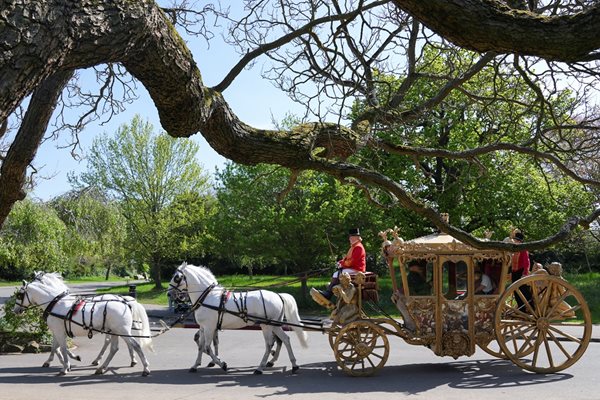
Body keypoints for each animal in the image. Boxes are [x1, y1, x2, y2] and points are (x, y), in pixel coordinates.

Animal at [14, 272, 152, 376]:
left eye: (19, 295)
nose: (15, 310)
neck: (55, 302)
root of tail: (125, 303)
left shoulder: (58, 331)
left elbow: (61, 348)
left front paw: (65, 367)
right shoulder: (58, 331)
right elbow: (56, 348)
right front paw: (63, 362)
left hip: (121, 330)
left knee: (135, 345)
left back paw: (145, 368)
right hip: (114, 331)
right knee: (114, 348)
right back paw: (102, 367)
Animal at [169, 264, 310, 374]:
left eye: (177, 277)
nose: (169, 293)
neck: (207, 297)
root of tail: (278, 295)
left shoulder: (209, 327)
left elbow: (207, 347)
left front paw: (222, 364)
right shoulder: (204, 327)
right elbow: (201, 346)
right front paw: (195, 365)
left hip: (267, 325)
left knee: (270, 344)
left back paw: (260, 368)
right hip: (274, 325)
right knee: (285, 339)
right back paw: (293, 365)